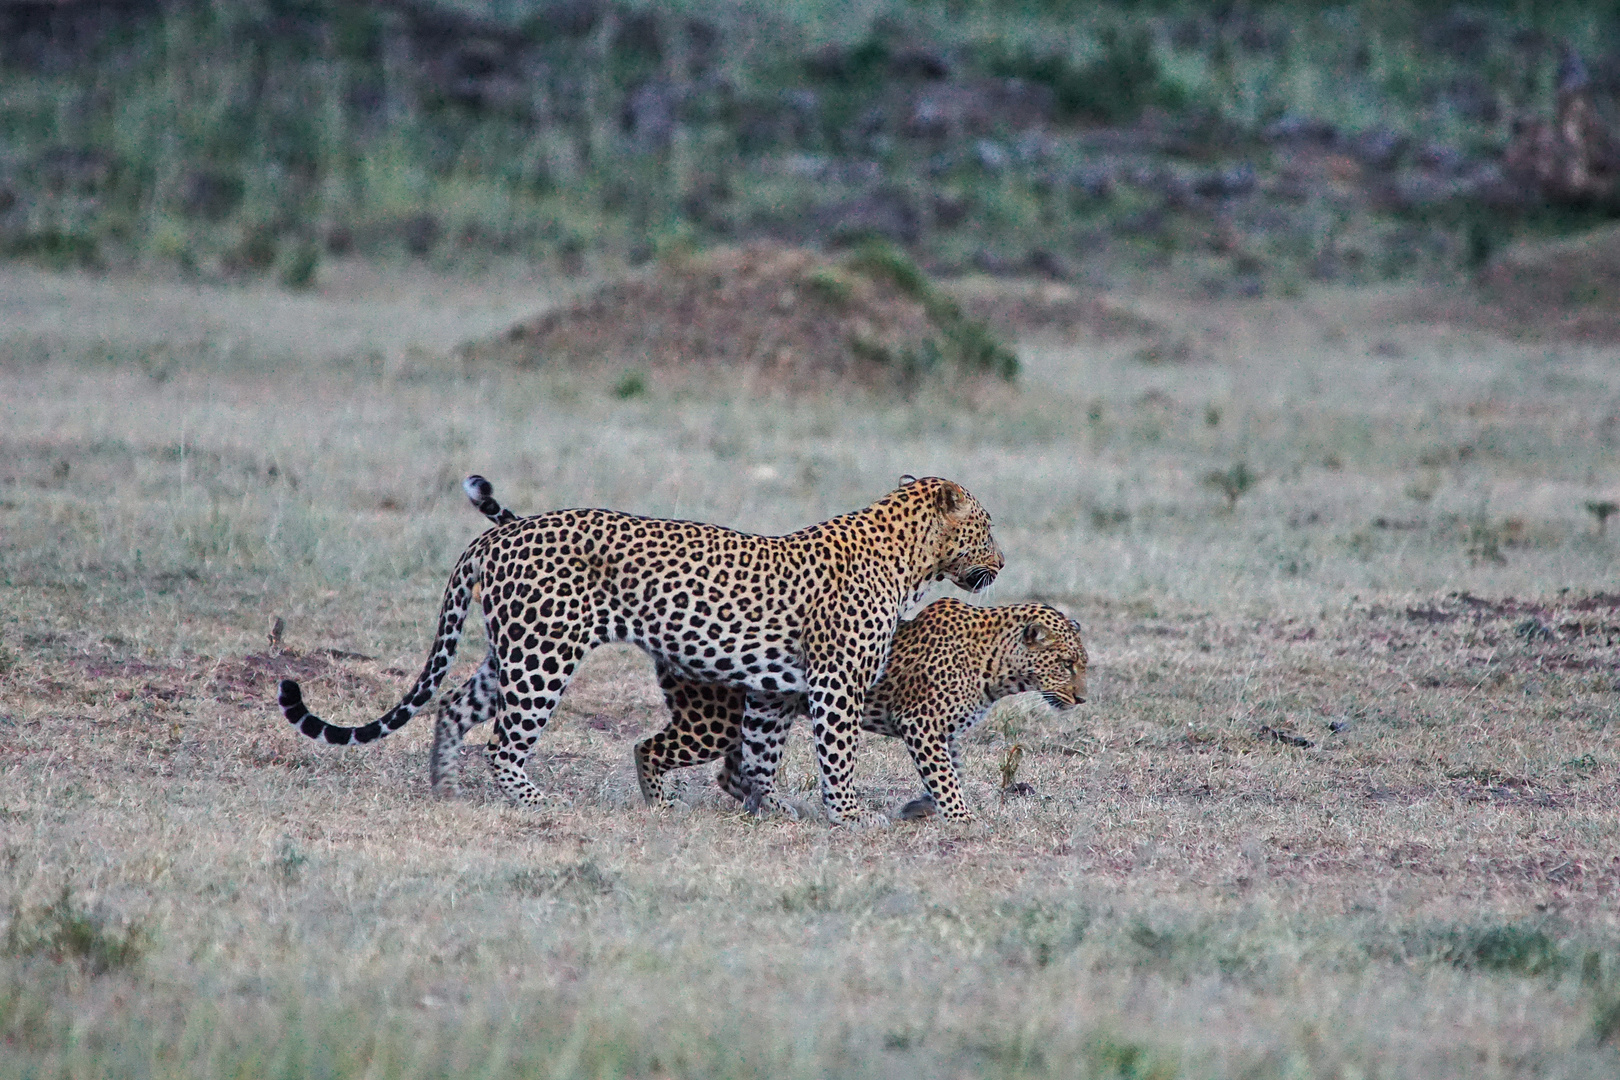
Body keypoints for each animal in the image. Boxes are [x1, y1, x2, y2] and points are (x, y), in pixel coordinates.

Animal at [278, 476, 997, 822]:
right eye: (988, 527)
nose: (1002, 564)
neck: (909, 559)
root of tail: (496, 537)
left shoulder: (775, 689)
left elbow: (761, 756)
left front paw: (772, 810)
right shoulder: (836, 684)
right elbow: (837, 758)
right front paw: (848, 817)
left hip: (512, 648)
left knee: (454, 706)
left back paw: (446, 789)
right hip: (546, 653)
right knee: (504, 738)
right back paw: (534, 801)